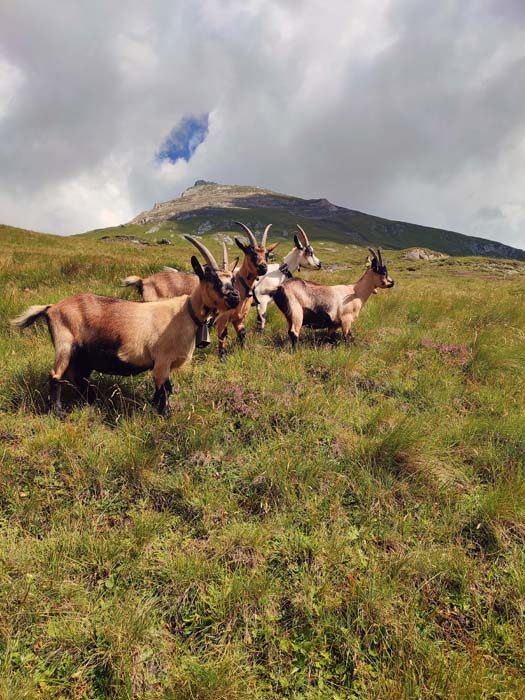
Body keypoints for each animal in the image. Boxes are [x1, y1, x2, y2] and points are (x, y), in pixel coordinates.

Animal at [11, 237, 240, 417]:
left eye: (231, 279)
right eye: (212, 278)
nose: (235, 296)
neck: (184, 313)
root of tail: (52, 307)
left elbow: (164, 389)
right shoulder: (162, 361)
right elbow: (164, 390)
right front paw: (164, 415)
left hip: (83, 355)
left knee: (79, 377)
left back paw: (92, 401)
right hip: (64, 344)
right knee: (55, 375)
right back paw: (58, 413)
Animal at [215, 222, 279, 359]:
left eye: (267, 254)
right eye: (252, 253)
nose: (263, 267)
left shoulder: (240, 316)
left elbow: (242, 333)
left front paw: (244, 350)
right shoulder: (224, 317)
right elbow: (223, 334)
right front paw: (222, 357)